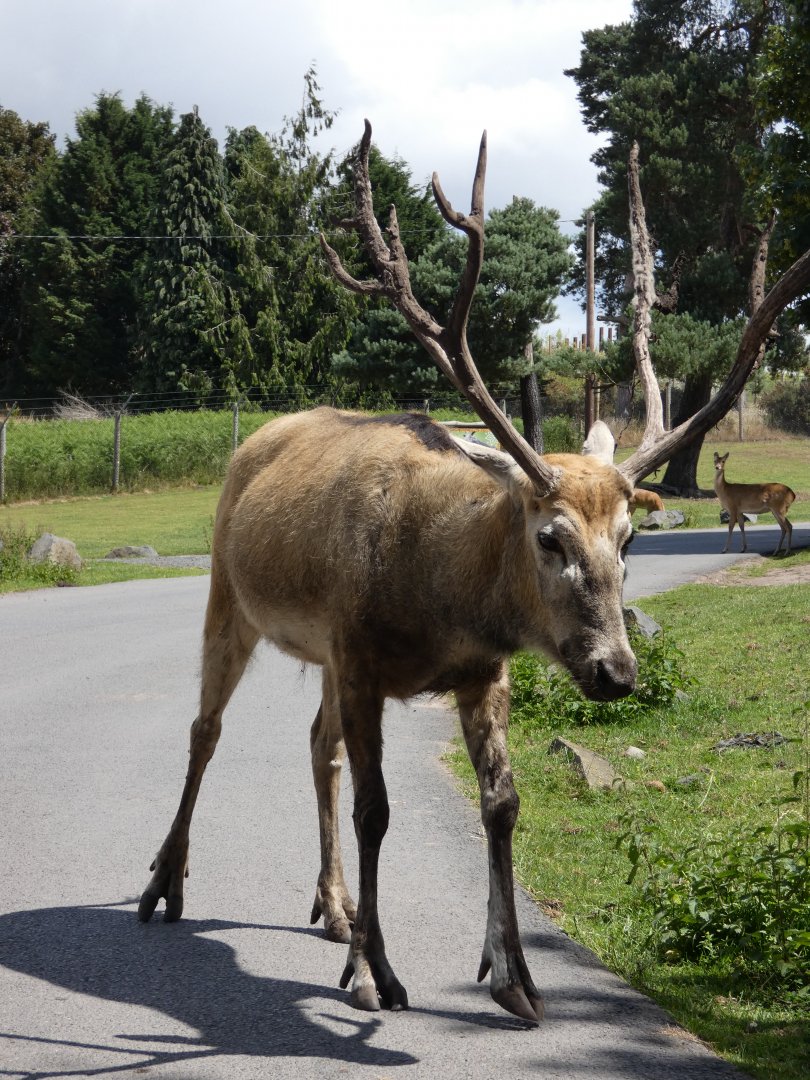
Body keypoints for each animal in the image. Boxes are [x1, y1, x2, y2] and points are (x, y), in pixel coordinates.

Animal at [138, 122, 810, 1026]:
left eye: (631, 536)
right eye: (551, 538)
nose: (617, 670)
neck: (441, 604)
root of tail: (260, 438)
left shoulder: (478, 670)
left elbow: (504, 803)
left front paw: (511, 974)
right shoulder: (361, 656)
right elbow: (377, 810)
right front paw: (378, 974)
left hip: (320, 652)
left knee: (317, 745)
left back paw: (334, 908)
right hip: (228, 591)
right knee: (205, 731)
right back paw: (166, 884)